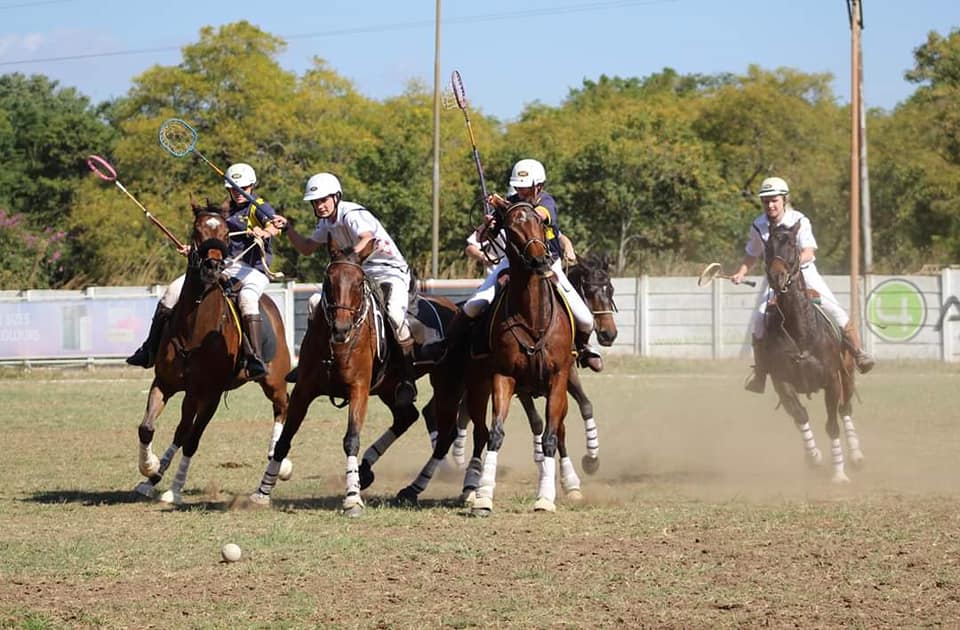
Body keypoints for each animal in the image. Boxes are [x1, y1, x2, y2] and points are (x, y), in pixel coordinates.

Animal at [135, 200, 290, 506]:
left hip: (273, 380)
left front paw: (174, 488)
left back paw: (276, 467)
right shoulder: (165, 383)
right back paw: (152, 480)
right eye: (197, 230)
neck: (193, 330)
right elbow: (148, 427)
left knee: (283, 406)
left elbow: (193, 441)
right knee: (181, 431)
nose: (212, 267)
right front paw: (150, 467)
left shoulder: (211, 394)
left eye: (226, 233)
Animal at [248, 242, 458, 520]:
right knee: (408, 417)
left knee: (443, 430)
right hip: (389, 388)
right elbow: (284, 440)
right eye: (328, 280)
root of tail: (455, 308)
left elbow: (351, 439)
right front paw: (263, 491)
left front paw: (352, 499)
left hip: (446, 384)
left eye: (359, 283)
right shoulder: (304, 390)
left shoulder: (358, 389)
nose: (341, 328)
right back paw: (367, 469)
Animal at [400, 205, 576, 516]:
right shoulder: (503, 377)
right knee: (454, 435)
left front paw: (545, 497)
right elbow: (496, 433)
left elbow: (551, 437)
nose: (540, 259)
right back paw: (429, 486)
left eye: (540, 222)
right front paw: (484, 496)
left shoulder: (558, 380)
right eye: (511, 229)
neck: (533, 318)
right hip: (457, 388)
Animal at [760, 222, 868, 484]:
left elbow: (832, 425)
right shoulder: (782, 382)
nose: (777, 277)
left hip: (847, 374)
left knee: (845, 410)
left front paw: (839, 473)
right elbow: (800, 415)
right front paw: (814, 457)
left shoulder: (831, 381)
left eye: (792, 243)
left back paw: (856, 455)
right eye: (767, 246)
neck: (800, 331)